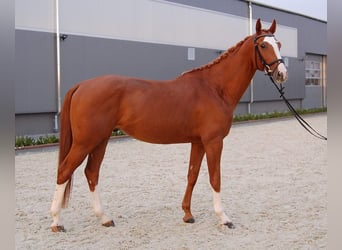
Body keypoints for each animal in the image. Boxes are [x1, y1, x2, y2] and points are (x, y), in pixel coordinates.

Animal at [50, 18, 286, 231]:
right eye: (263, 45)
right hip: (85, 142)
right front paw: (224, 218)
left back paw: (104, 218)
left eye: (279, 44)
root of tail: (82, 85)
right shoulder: (213, 142)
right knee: (64, 171)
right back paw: (57, 222)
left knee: (91, 173)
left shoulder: (198, 142)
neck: (213, 88)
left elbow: (192, 175)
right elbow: (215, 178)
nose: (281, 73)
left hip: (100, 140)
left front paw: (187, 214)